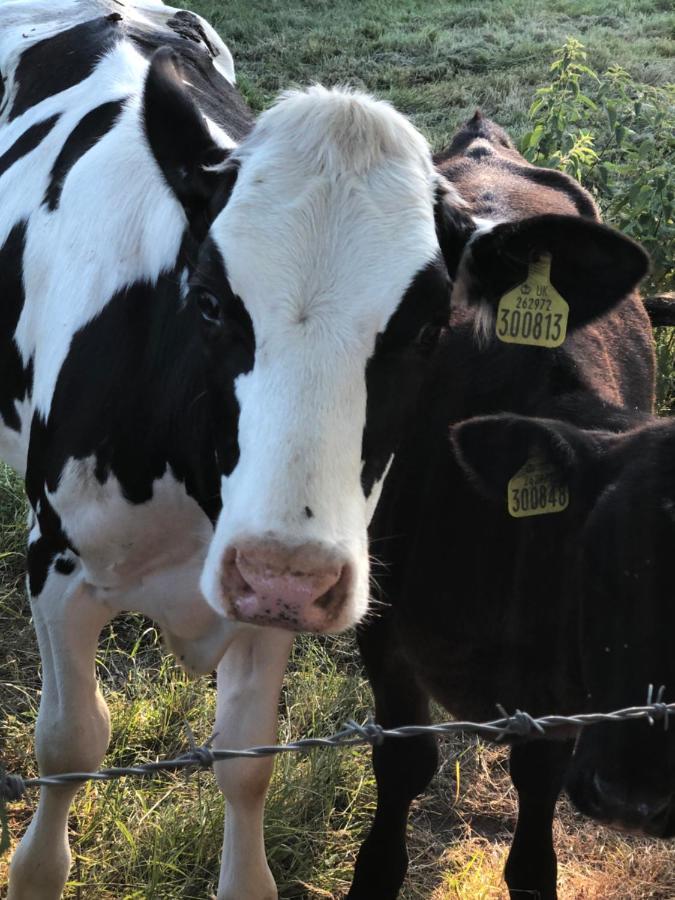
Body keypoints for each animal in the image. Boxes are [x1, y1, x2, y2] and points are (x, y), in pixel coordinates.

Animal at [1, 3, 486, 896]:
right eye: (210, 301)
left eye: (429, 327)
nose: (283, 572)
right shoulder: (53, 560)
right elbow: (69, 743)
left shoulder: (269, 605)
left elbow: (246, 761)